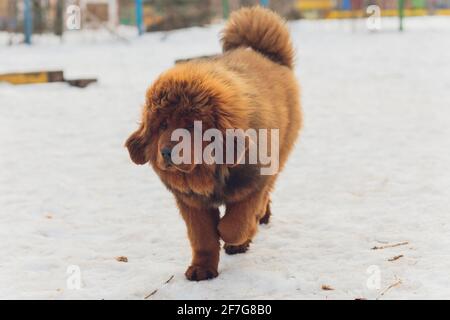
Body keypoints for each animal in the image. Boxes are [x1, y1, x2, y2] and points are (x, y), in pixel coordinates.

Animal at [125, 6, 302, 282]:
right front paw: (202, 269)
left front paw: (237, 236)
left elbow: (234, 225)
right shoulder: (191, 203)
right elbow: (203, 238)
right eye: (162, 125)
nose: (166, 152)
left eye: (192, 126)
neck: (208, 172)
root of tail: (267, 55)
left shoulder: (252, 184)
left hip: (280, 153)